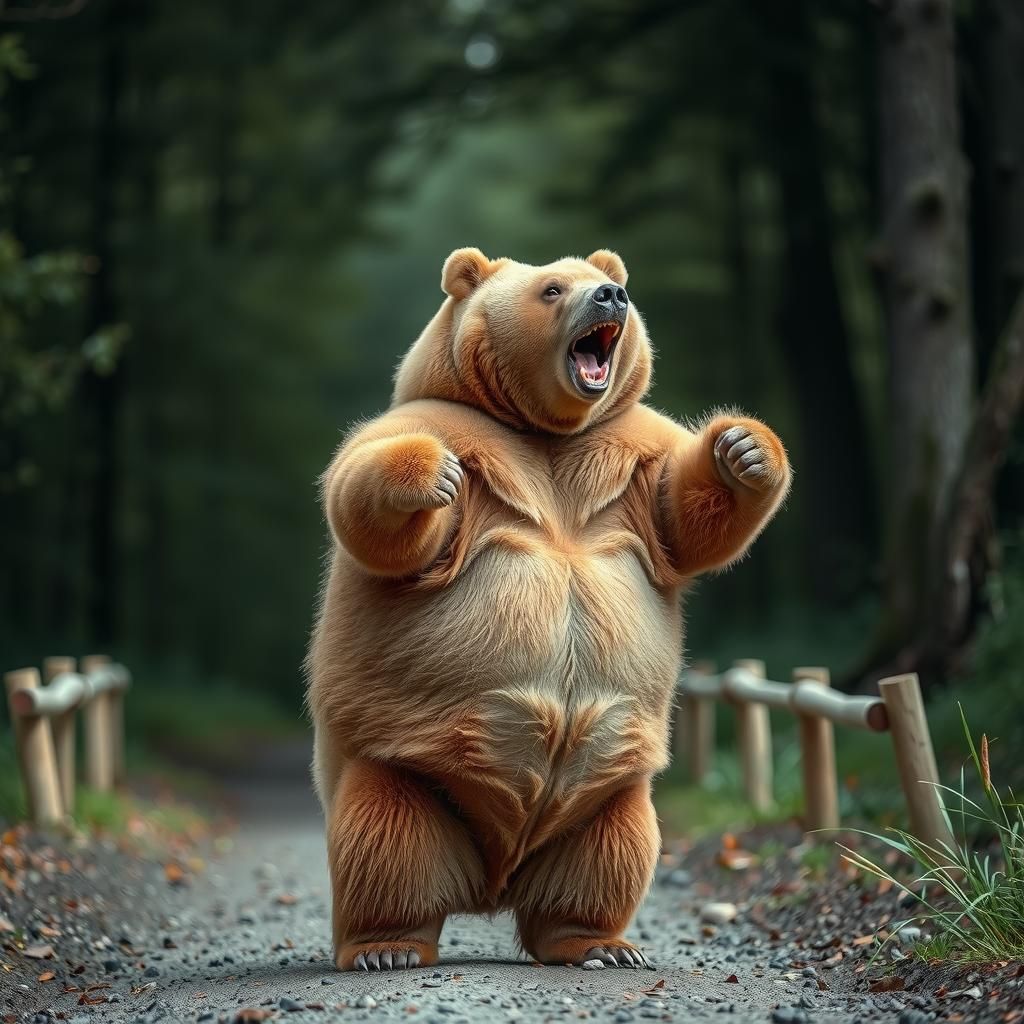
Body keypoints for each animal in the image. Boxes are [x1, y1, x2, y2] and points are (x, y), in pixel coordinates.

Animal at [306, 247, 790, 973]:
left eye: (606, 280)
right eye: (552, 288)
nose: (611, 296)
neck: (546, 433)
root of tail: (493, 879)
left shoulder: (629, 459)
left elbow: (689, 514)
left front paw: (745, 448)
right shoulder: (446, 433)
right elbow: (374, 511)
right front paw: (427, 475)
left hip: (606, 793)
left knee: (609, 856)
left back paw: (599, 944)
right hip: (404, 766)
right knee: (387, 844)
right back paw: (385, 947)